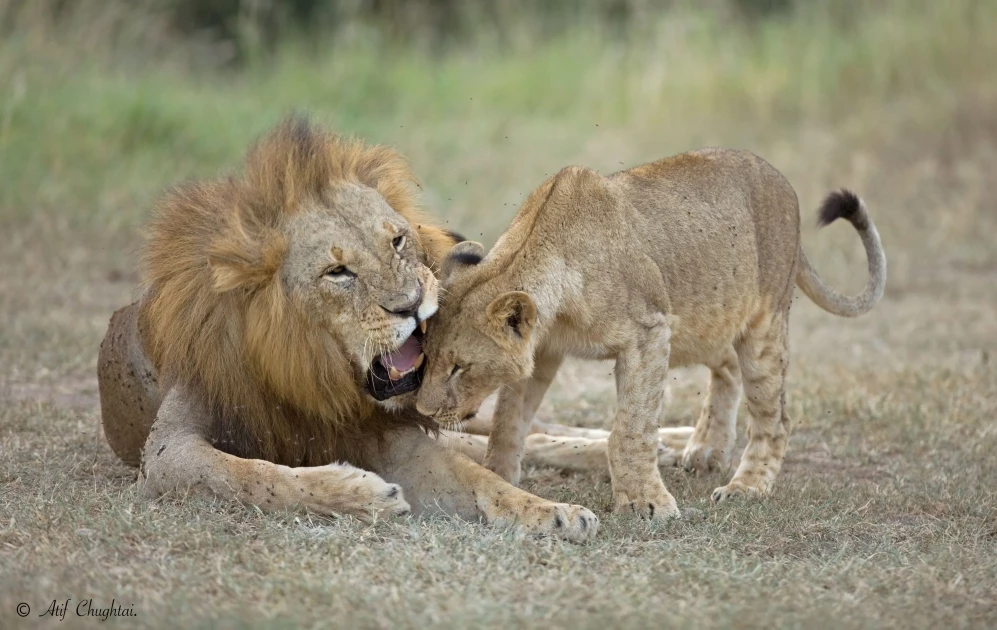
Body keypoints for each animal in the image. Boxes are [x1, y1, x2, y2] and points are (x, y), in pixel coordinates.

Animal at [97, 117, 600, 544]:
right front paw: (362, 496)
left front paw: (553, 511)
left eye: (397, 241)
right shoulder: (166, 450)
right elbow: (248, 476)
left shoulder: (389, 436)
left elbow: (480, 480)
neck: (310, 370)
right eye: (338, 272)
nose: (412, 306)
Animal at [416, 149, 884, 524]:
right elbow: (509, 421)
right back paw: (707, 449)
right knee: (727, 369)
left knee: (775, 416)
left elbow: (631, 428)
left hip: (761, 324)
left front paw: (646, 503)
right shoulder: (544, 350)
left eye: (459, 367)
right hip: (706, 321)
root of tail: (781, 181)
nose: (421, 410)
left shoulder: (649, 333)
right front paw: (498, 476)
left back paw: (746, 487)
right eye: (425, 357)